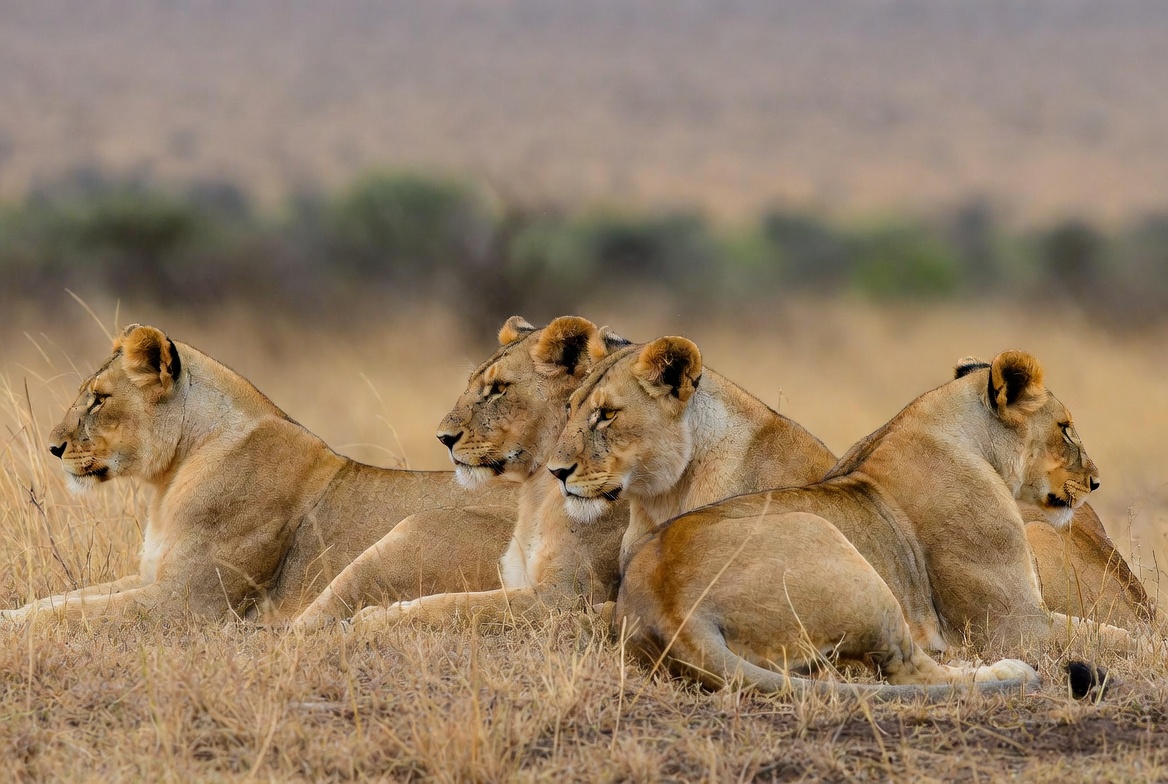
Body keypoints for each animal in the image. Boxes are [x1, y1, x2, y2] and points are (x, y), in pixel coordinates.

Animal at [4, 324, 516, 625]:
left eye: (98, 399)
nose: (53, 448)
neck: (171, 477)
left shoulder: (187, 601)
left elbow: (71, 612)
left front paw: (14, 629)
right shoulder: (153, 575)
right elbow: (58, 600)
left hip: (408, 535)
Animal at [296, 316, 633, 629]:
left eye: (498, 390)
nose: (444, 438)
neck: (537, 494)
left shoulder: (564, 597)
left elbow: (462, 604)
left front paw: (378, 618)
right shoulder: (523, 581)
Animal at [547, 339, 1145, 694]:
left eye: (603, 414)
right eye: (1066, 428)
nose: (1095, 481)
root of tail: (668, 610)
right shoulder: (1011, 623)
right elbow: (1120, 635)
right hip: (840, 551)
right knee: (912, 673)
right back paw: (1012, 676)